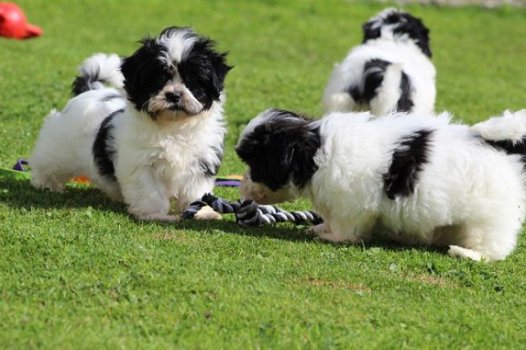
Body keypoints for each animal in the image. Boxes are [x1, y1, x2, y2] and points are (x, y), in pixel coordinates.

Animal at [30, 26, 233, 221]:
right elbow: (150, 190)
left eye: (192, 82)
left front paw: (202, 212)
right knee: (48, 162)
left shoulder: (201, 160)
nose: (174, 95)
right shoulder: (142, 163)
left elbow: (195, 189)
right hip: (59, 145)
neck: (173, 125)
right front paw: (154, 214)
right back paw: (46, 183)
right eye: (158, 80)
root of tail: (89, 91)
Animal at [237, 108, 526, 262]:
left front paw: (330, 236)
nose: (242, 187)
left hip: (488, 220)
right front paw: (320, 227)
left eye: (257, 166)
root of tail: (498, 146)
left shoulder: (350, 206)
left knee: (493, 247)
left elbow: (345, 228)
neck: (314, 152)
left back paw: (466, 253)